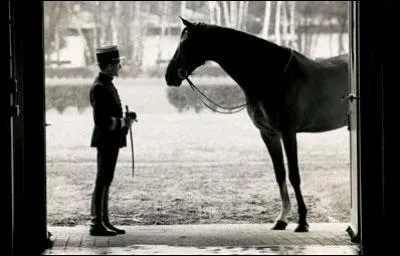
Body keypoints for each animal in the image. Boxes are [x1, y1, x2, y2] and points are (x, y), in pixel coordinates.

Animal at [164, 17, 348, 231]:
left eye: (185, 43)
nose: (169, 75)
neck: (271, 76)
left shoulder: (288, 132)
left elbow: (294, 175)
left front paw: (302, 221)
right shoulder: (268, 134)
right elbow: (280, 174)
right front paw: (282, 219)